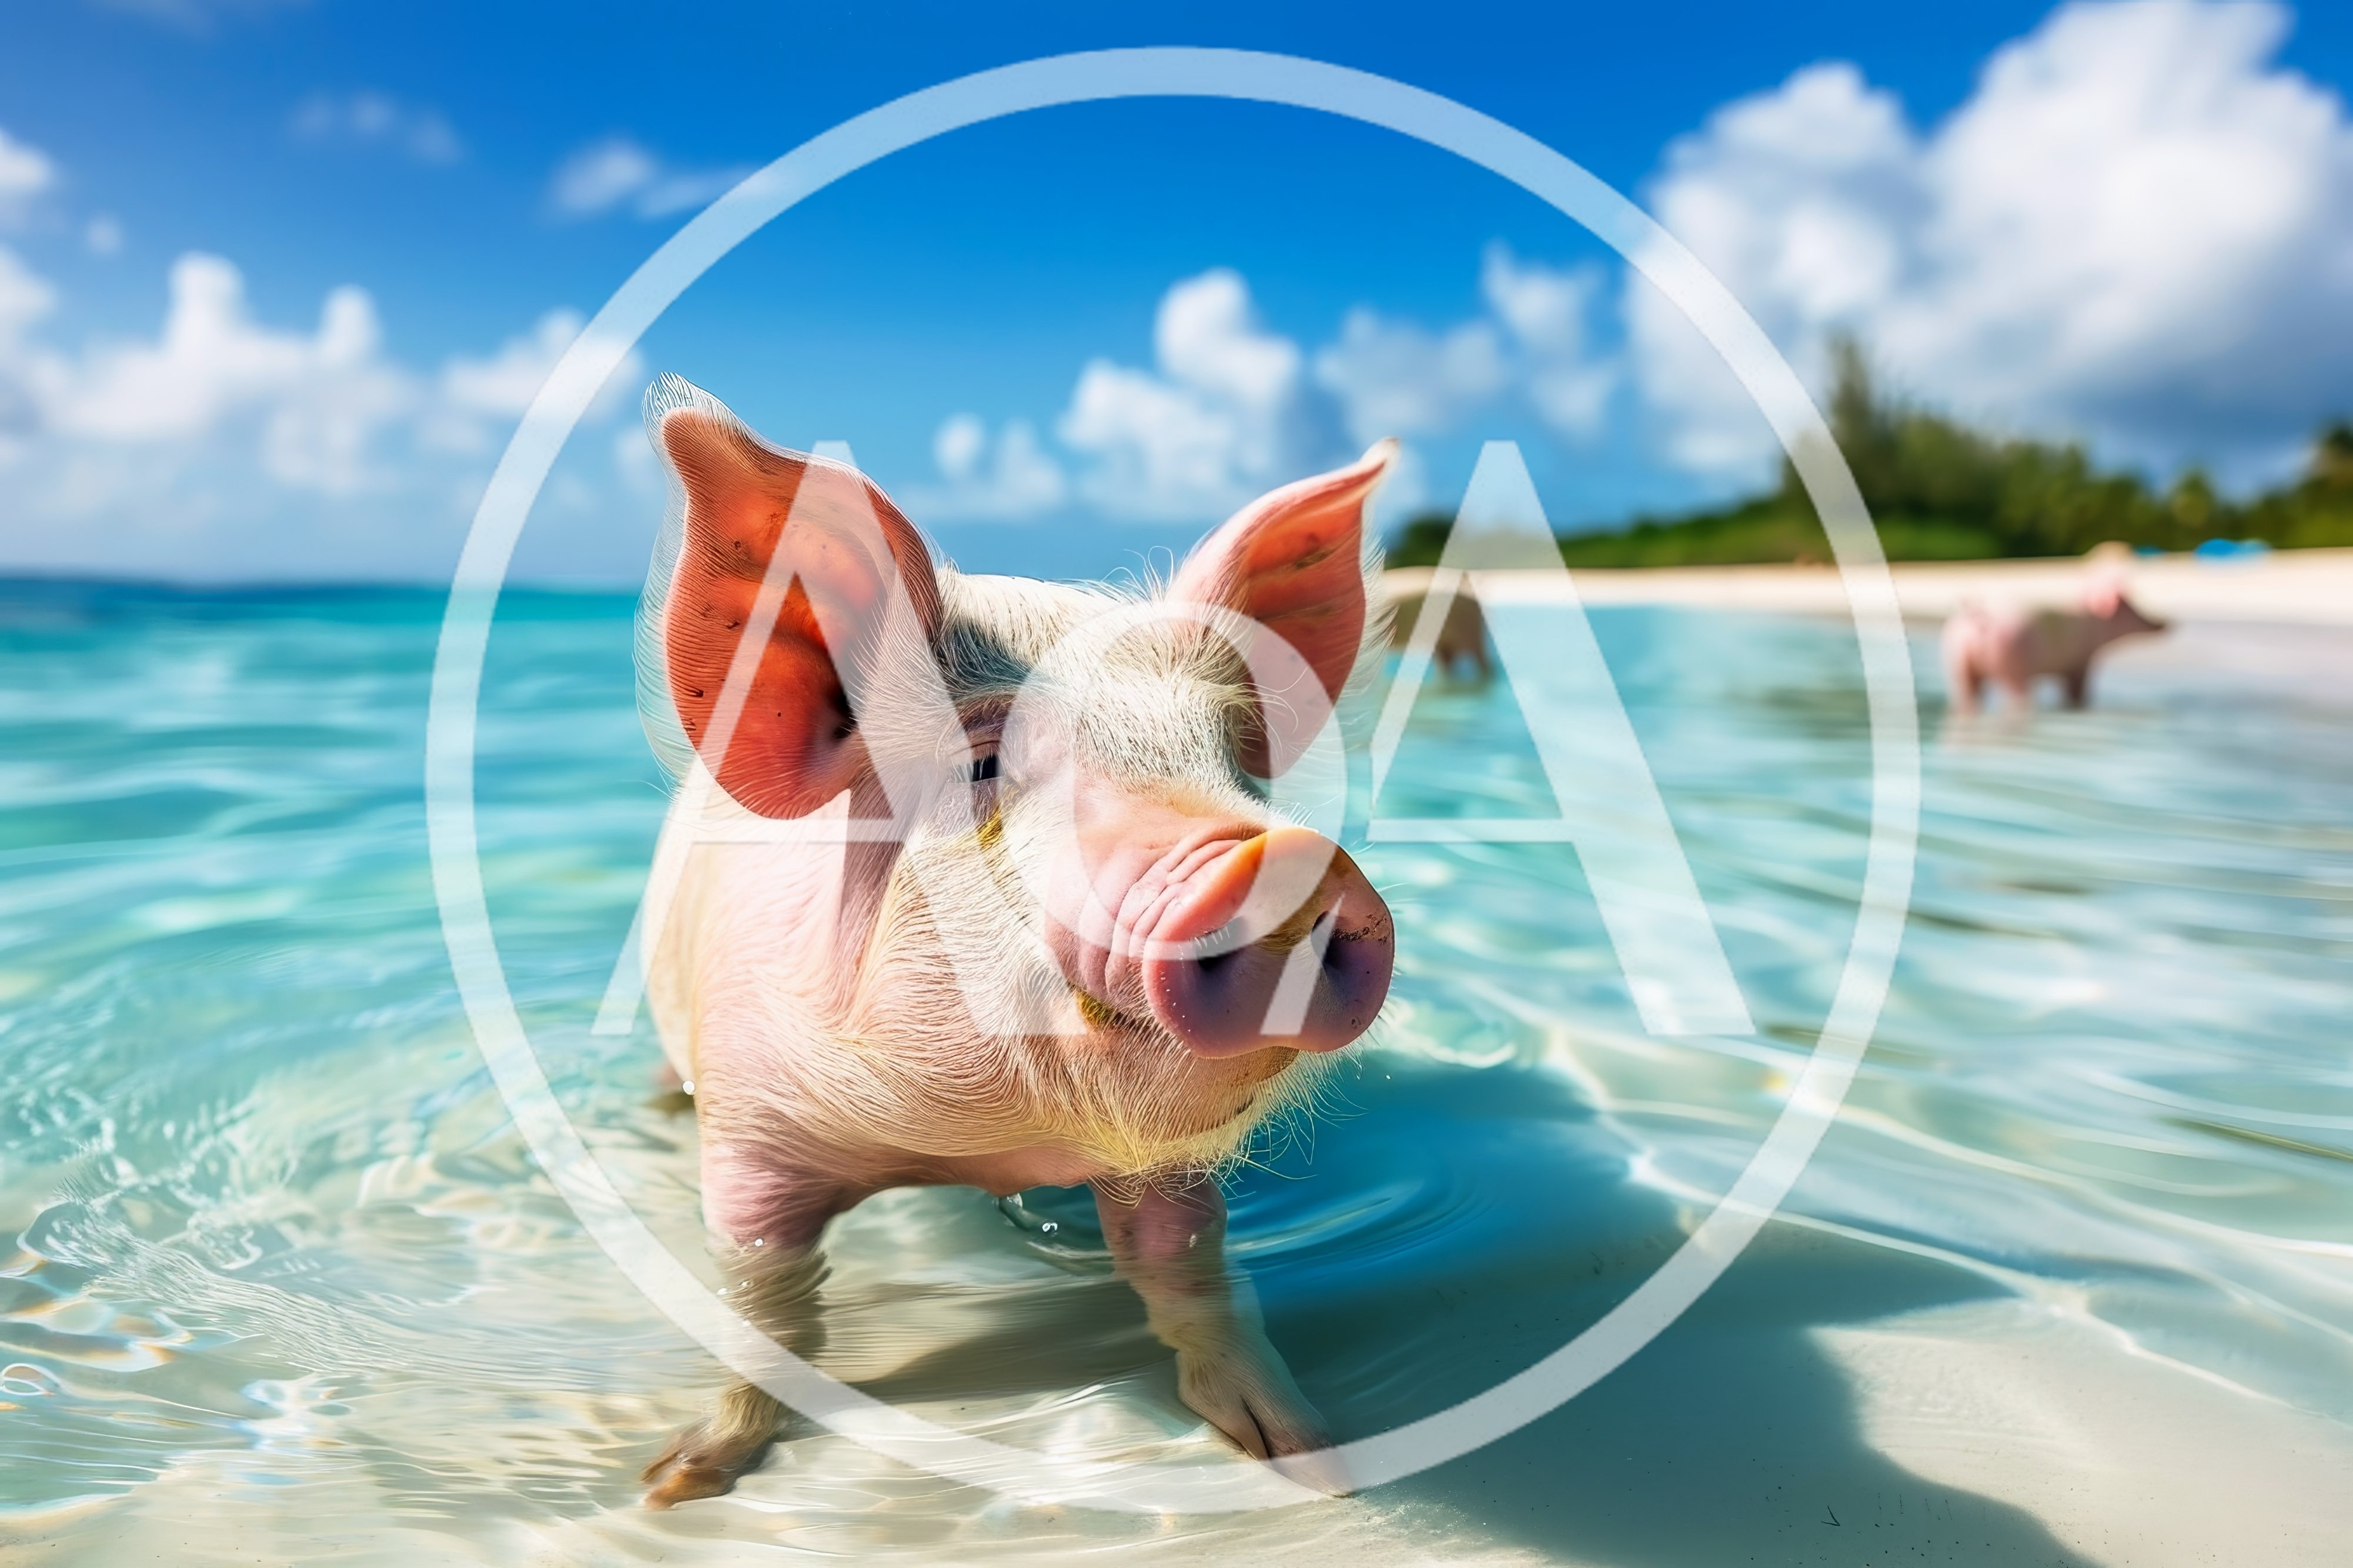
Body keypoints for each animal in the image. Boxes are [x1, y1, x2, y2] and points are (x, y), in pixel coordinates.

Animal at [628, 376, 1398, 1507]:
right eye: (984, 767)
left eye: (1237, 760)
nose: (1281, 856)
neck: (965, 1147)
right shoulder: (751, 1127)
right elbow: (766, 1302)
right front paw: (680, 1480)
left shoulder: (1164, 1166)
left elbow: (1187, 1270)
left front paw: (1308, 1456)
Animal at [1941, 569, 2168, 714]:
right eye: (2131, 607)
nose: (2166, 623)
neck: (2094, 623)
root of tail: (1979, 614)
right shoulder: (2082, 661)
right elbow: (2077, 691)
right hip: (2011, 663)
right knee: (2018, 697)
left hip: (1957, 659)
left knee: (1967, 694)